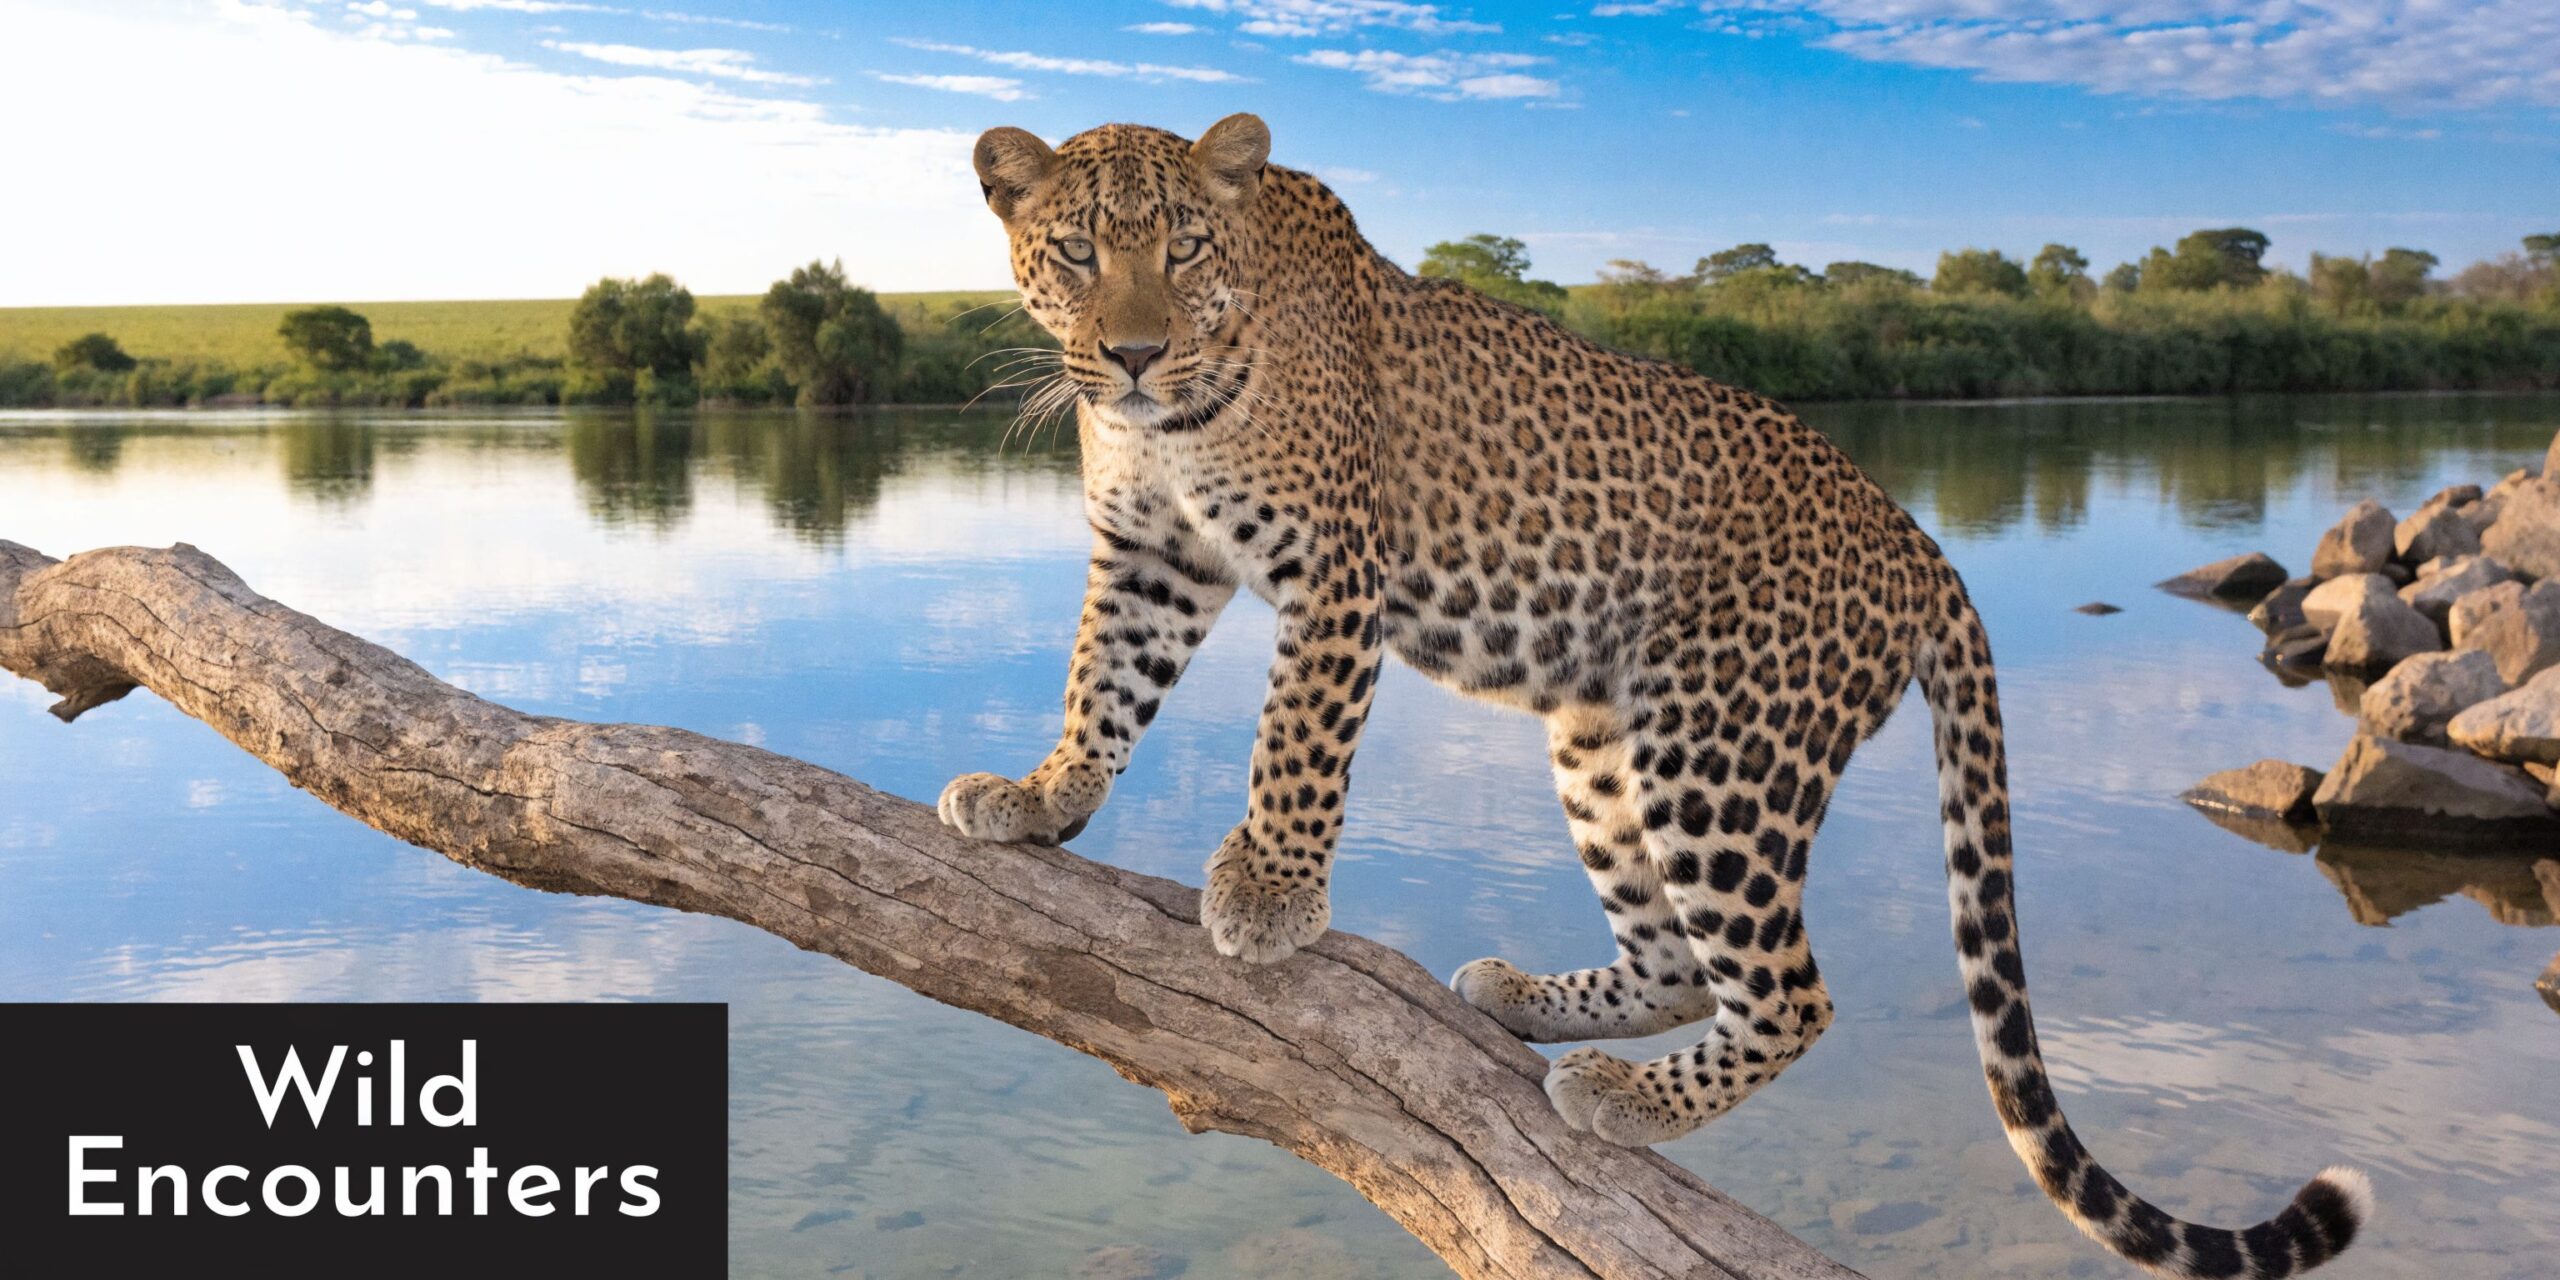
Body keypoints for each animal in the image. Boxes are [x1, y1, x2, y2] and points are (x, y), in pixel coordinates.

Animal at [935, 112, 2374, 1278]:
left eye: (1183, 248)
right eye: (1077, 251)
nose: (1132, 353)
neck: (1173, 421)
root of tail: (1916, 541)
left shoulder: (1337, 571)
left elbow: (1294, 741)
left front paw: (1270, 893)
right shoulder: (1153, 558)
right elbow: (1102, 681)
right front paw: (1042, 796)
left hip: (1722, 745)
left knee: (1793, 992)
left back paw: (1627, 1100)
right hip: (1607, 739)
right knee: (1683, 961)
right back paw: (1533, 1005)